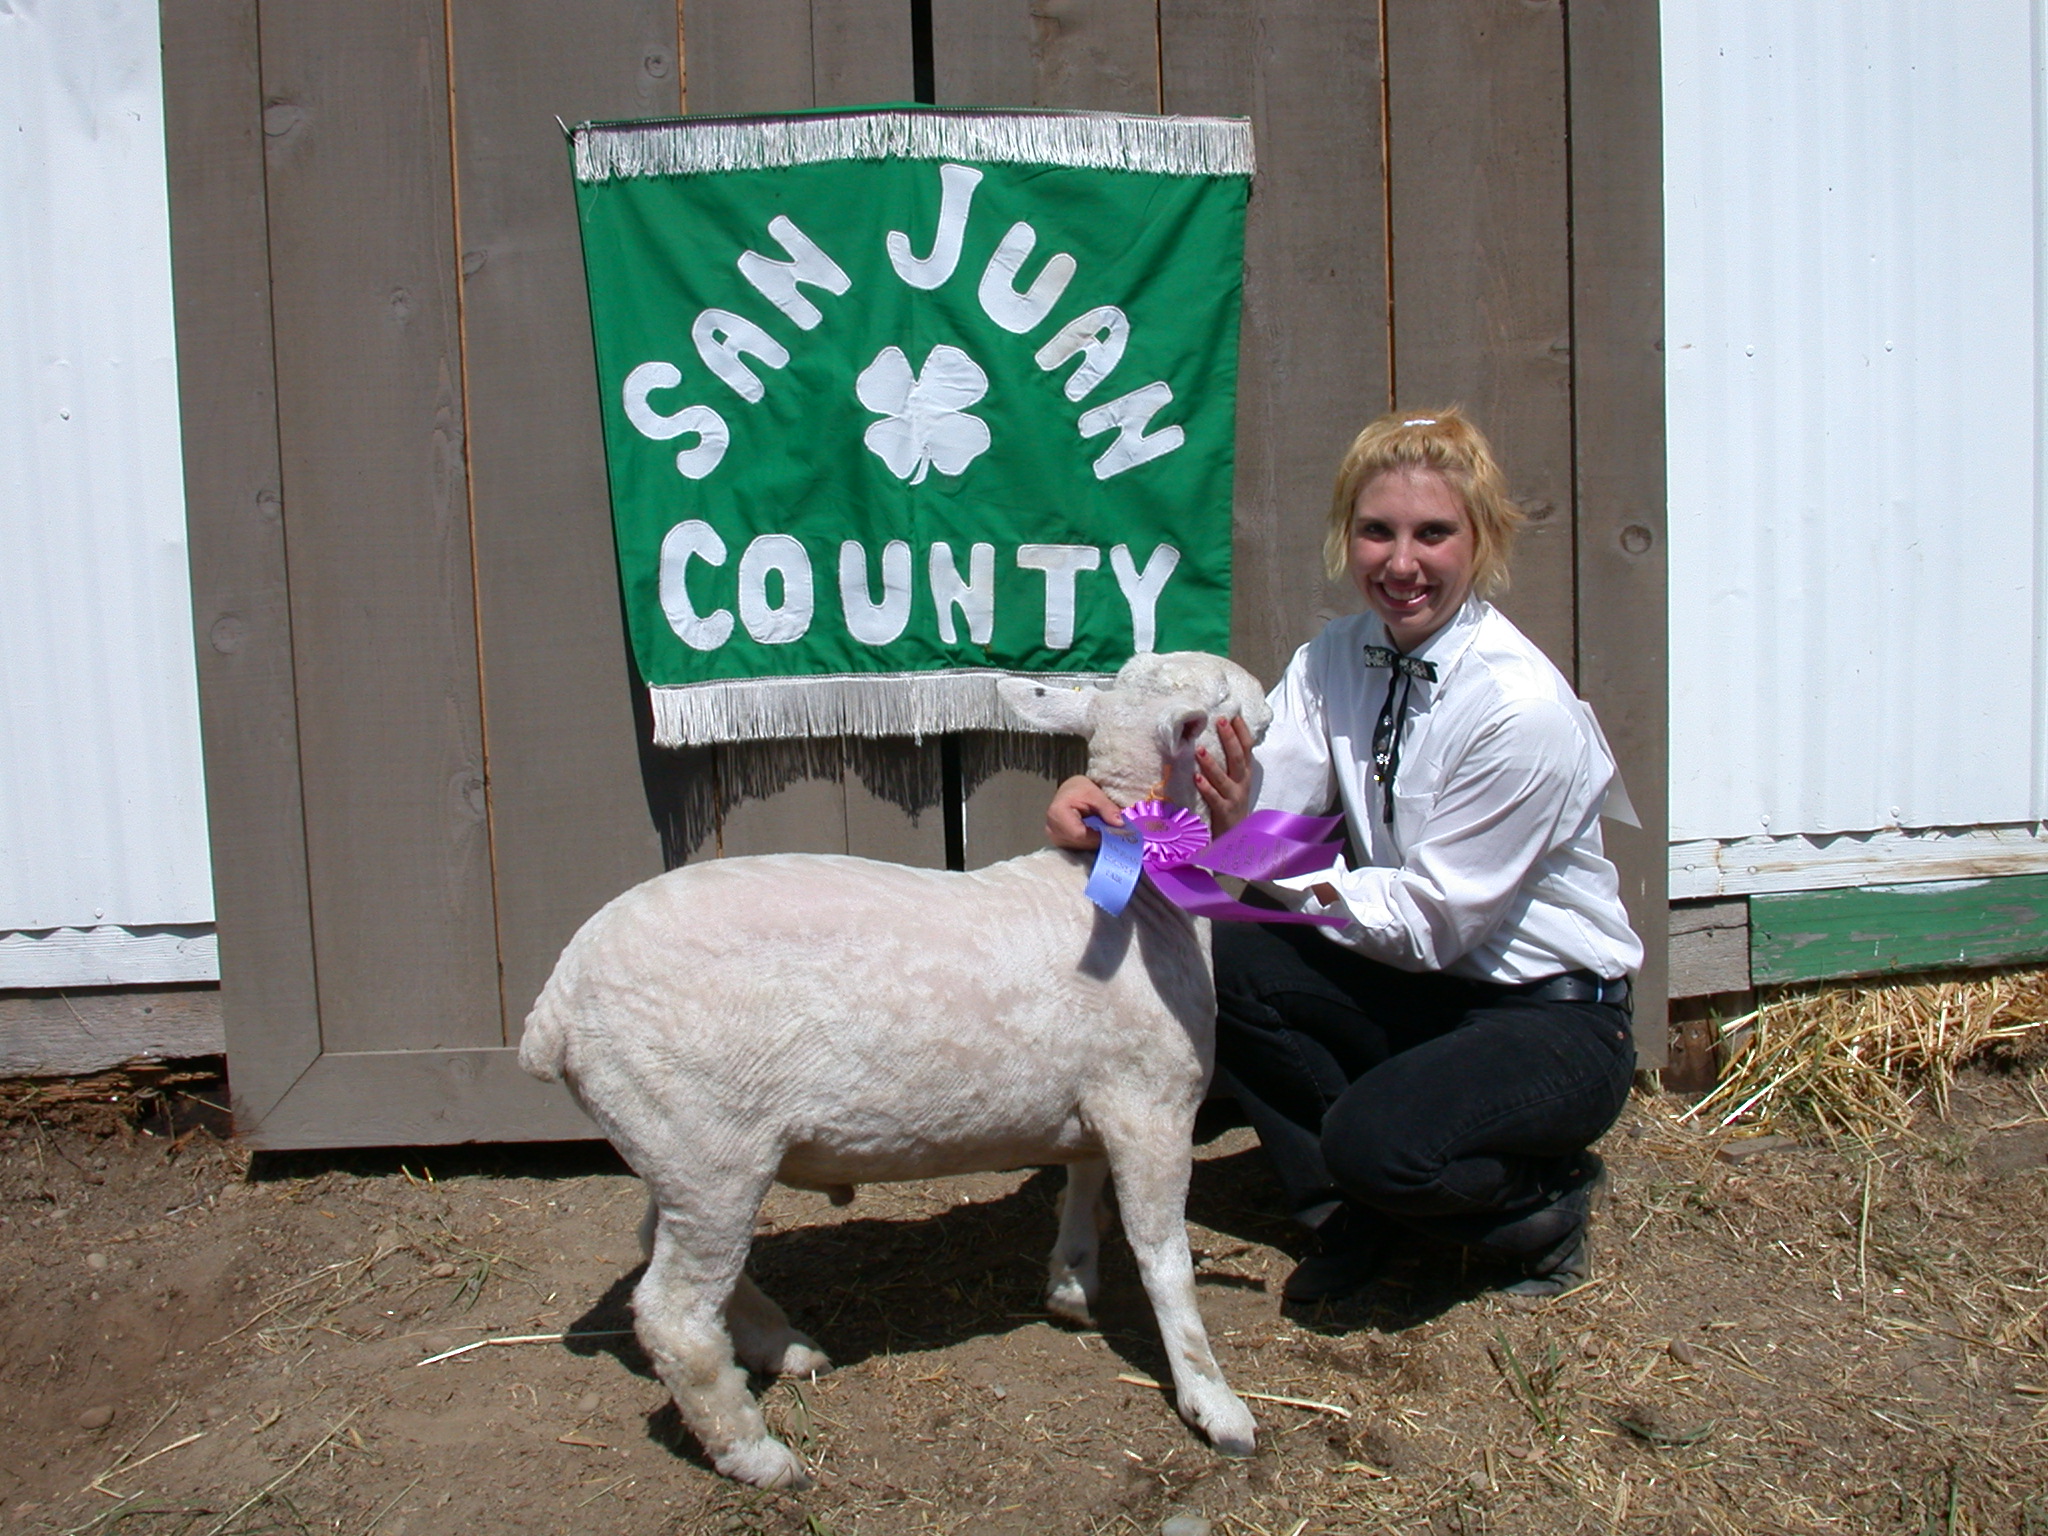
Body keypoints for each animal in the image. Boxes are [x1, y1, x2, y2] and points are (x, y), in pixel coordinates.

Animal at [519, 652, 1271, 1489]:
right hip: (707, 1146)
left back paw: (780, 1347)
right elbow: (1164, 1259)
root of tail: (555, 1005)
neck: (1136, 883)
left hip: (674, 1145)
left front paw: (1072, 1282)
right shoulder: (1154, 1105)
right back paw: (759, 1454)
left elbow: (1082, 1179)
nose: (1267, 702)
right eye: (1222, 697)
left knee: (659, 1242)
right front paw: (1215, 1404)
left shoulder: (1102, 1093)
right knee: (674, 1315)